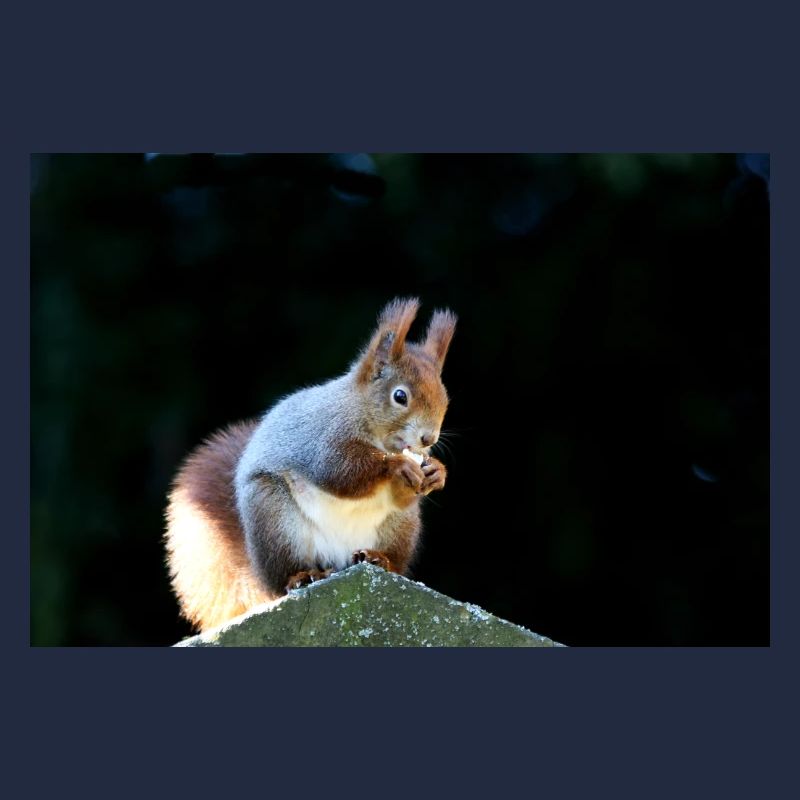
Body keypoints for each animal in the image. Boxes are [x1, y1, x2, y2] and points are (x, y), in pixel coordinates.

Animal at [164, 297, 457, 631]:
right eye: (400, 396)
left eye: (445, 398)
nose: (428, 437)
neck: (361, 414)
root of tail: (337, 559)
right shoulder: (322, 440)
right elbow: (340, 472)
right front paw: (396, 467)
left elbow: (401, 495)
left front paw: (436, 472)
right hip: (274, 518)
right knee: (285, 574)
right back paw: (304, 576)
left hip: (400, 526)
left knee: (392, 552)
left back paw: (379, 559)